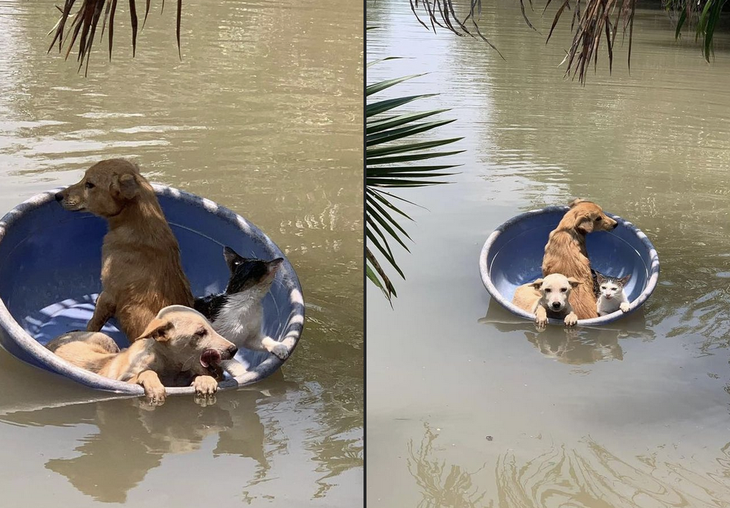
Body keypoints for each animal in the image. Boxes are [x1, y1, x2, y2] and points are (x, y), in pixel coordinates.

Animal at [47, 306, 236, 404]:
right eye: (200, 332)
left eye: (211, 327)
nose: (234, 349)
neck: (171, 370)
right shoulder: (121, 384)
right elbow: (146, 373)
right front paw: (155, 387)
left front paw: (205, 381)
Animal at [195, 246, 288, 378]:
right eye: (264, 263)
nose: (280, 259)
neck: (248, 304)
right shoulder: (219, 346)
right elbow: (235, 364)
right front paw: (245, 376)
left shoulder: (250, 338)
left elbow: (266, 339)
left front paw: (279, 347)